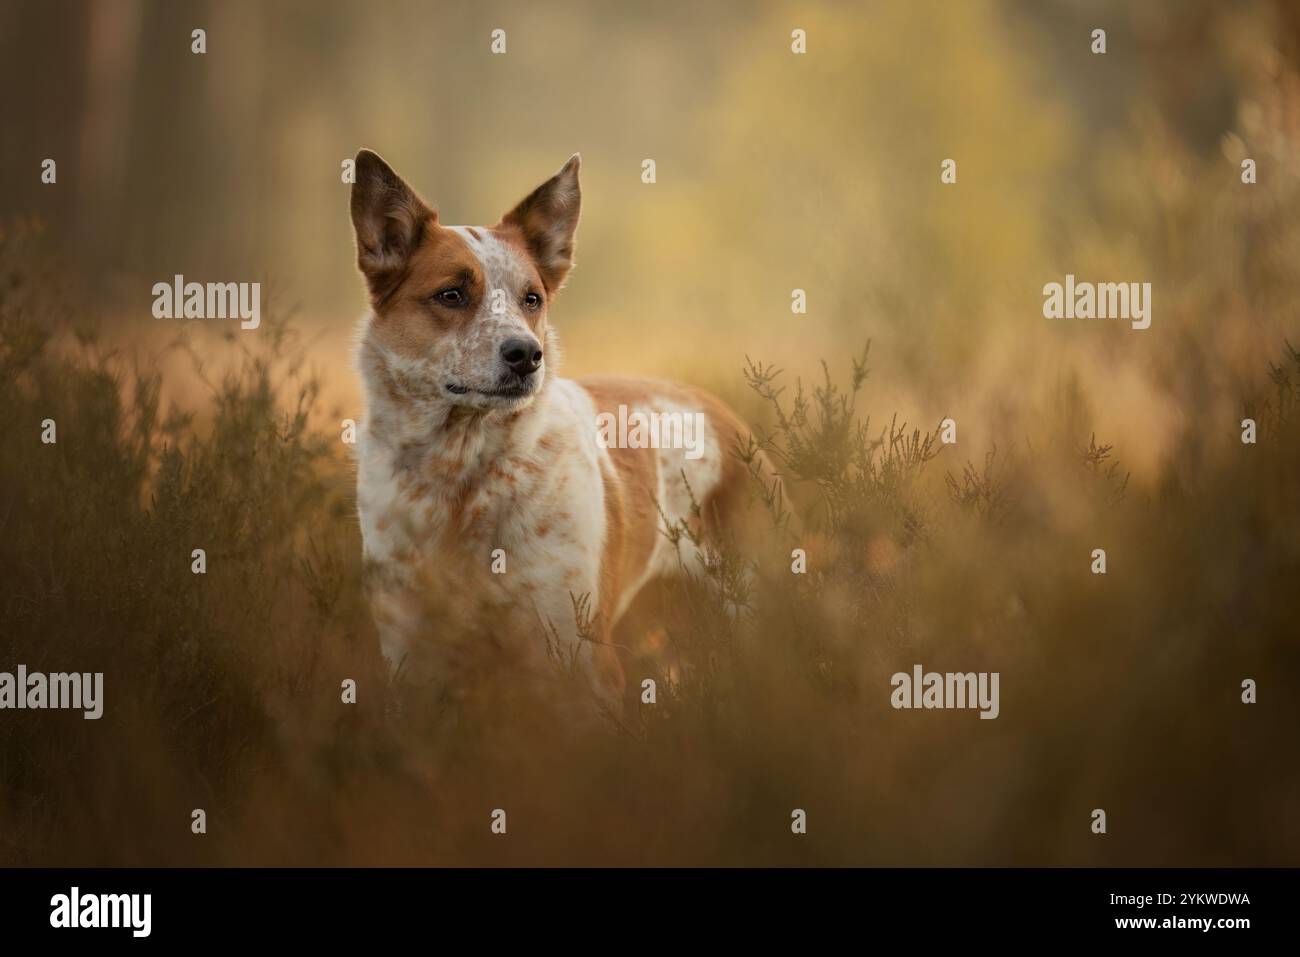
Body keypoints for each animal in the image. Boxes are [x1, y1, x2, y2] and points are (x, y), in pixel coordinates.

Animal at [351, 147, 764, 702]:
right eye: (451, 295)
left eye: (533, 299)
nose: (527, 354)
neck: (461, 473)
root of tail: (724, 414)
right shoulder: (413, 654)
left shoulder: (578, 657)